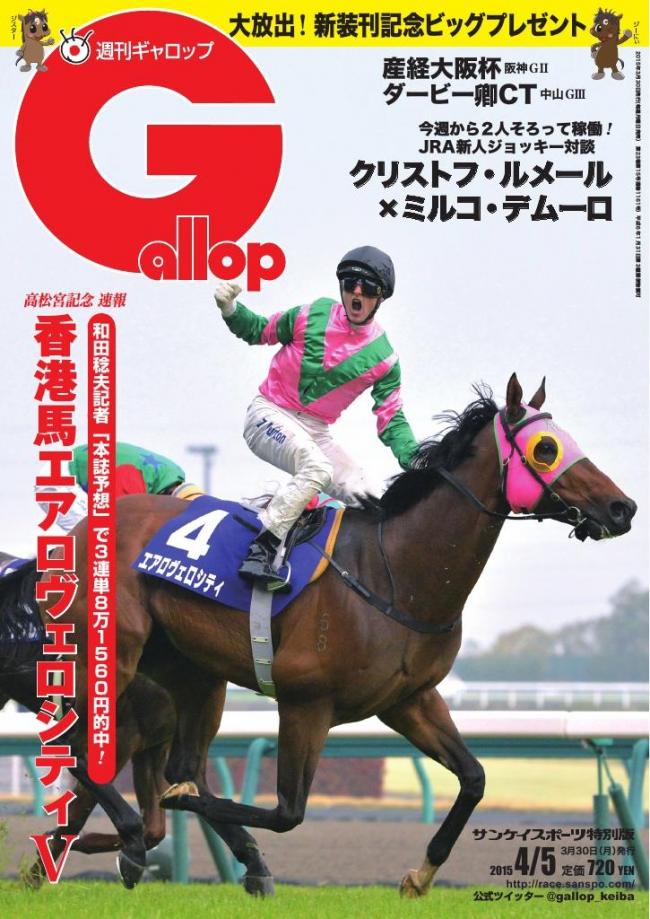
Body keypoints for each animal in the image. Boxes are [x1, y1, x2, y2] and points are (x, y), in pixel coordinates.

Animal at [48, 374, 636, 896]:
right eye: (545, 448)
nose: (622, 507)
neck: (395, 573)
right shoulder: (305, 701)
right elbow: (286, 812)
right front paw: (168, 812)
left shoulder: (409, 700)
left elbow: (474, 778)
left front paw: (420, 876)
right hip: (112, 653)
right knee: (80, 746)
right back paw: (122, 837)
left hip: (194, 672)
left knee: (168, 759)